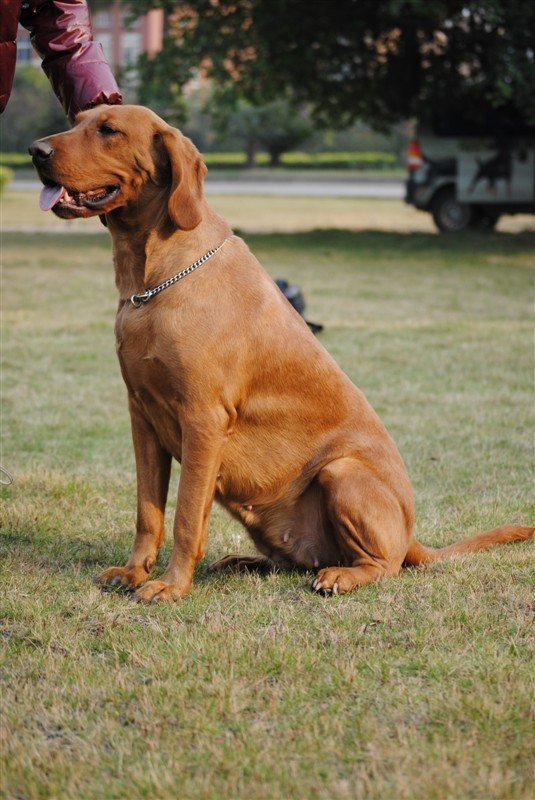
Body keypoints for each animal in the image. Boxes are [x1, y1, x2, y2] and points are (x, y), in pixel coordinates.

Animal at [29, 106, 532, 604]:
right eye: (77, 120)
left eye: (108, 130)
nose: (36, 150)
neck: (151, 283)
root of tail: (411, 536)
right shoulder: (142, 416)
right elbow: (147, 512)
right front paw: (135, 572)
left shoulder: (203, 420)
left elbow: (186, 516)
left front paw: (172, 585)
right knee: (291, 560)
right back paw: (246, 562)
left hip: (341, 473)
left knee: (383, 565)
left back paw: (340, 575)